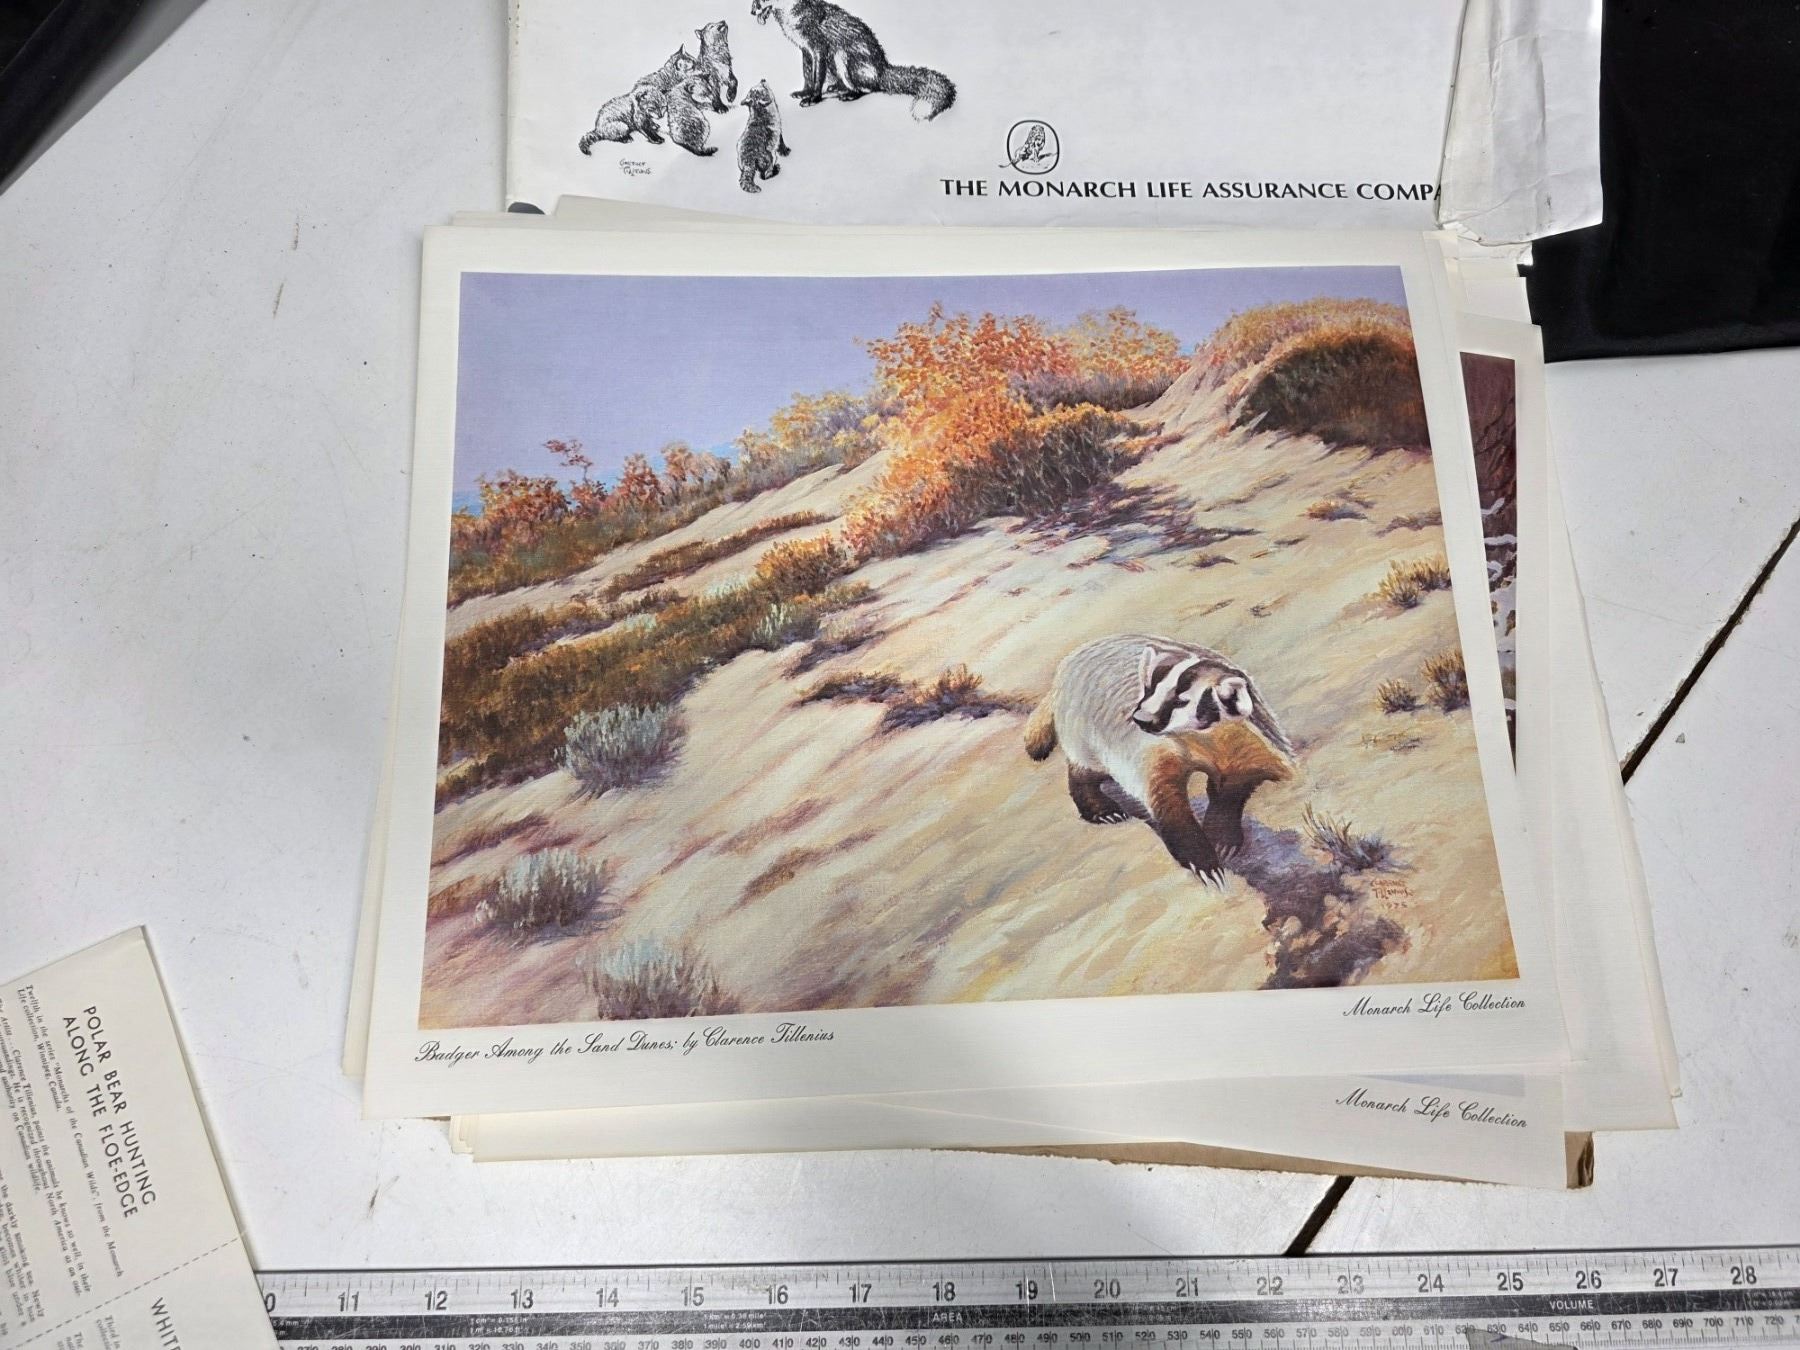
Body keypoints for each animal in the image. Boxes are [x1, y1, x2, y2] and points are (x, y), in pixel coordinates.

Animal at [751, 0, 956, 122]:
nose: (752, 11)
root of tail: (882, 69)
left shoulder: (819, 49)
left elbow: (817, 79)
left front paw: (813, 99)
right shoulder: (806, 51)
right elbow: (808, 76)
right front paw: (804, 92)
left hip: (841, 55)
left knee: (865, 89)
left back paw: (849, 94)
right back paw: (837, 87)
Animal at [1024, 635, 1293, 884]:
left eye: (1181, 701)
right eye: (1149, 688)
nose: (1141, 717)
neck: (1205, 740)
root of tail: (1064, 667)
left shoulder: (1247, 742)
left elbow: (1237, 782)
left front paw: (1221, 837)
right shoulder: (1154, 750)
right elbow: (1165, 798)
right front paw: (1204, 861)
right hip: (1080, 725)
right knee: (1085, 768)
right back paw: (1102, 808)